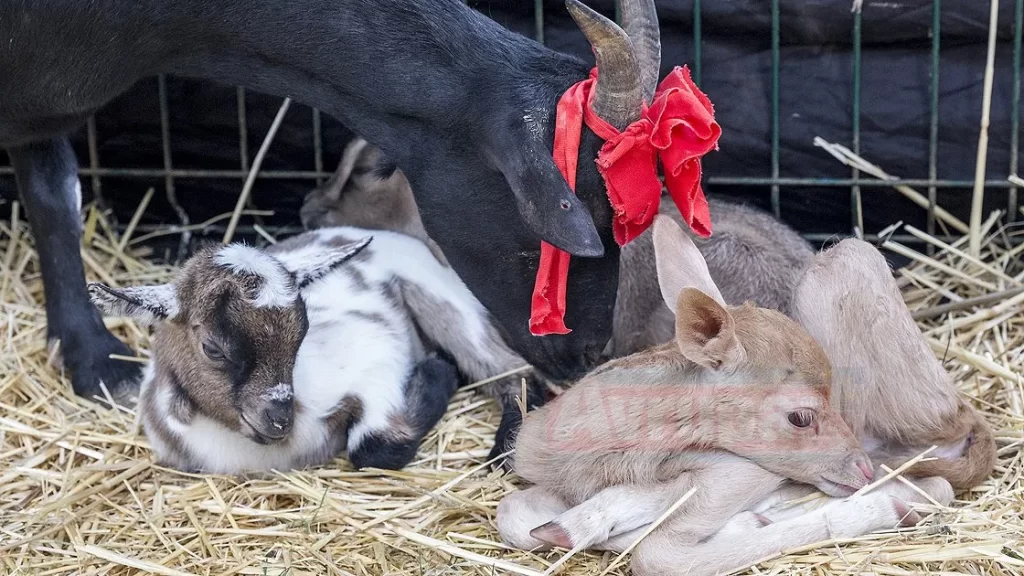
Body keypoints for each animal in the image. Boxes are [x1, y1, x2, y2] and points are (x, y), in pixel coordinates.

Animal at [0, 0, 659, 403]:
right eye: (586, 212)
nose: (587, 354)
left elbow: (55, 198)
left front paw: (89, 358)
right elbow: (55, 197)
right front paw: (97, 359)